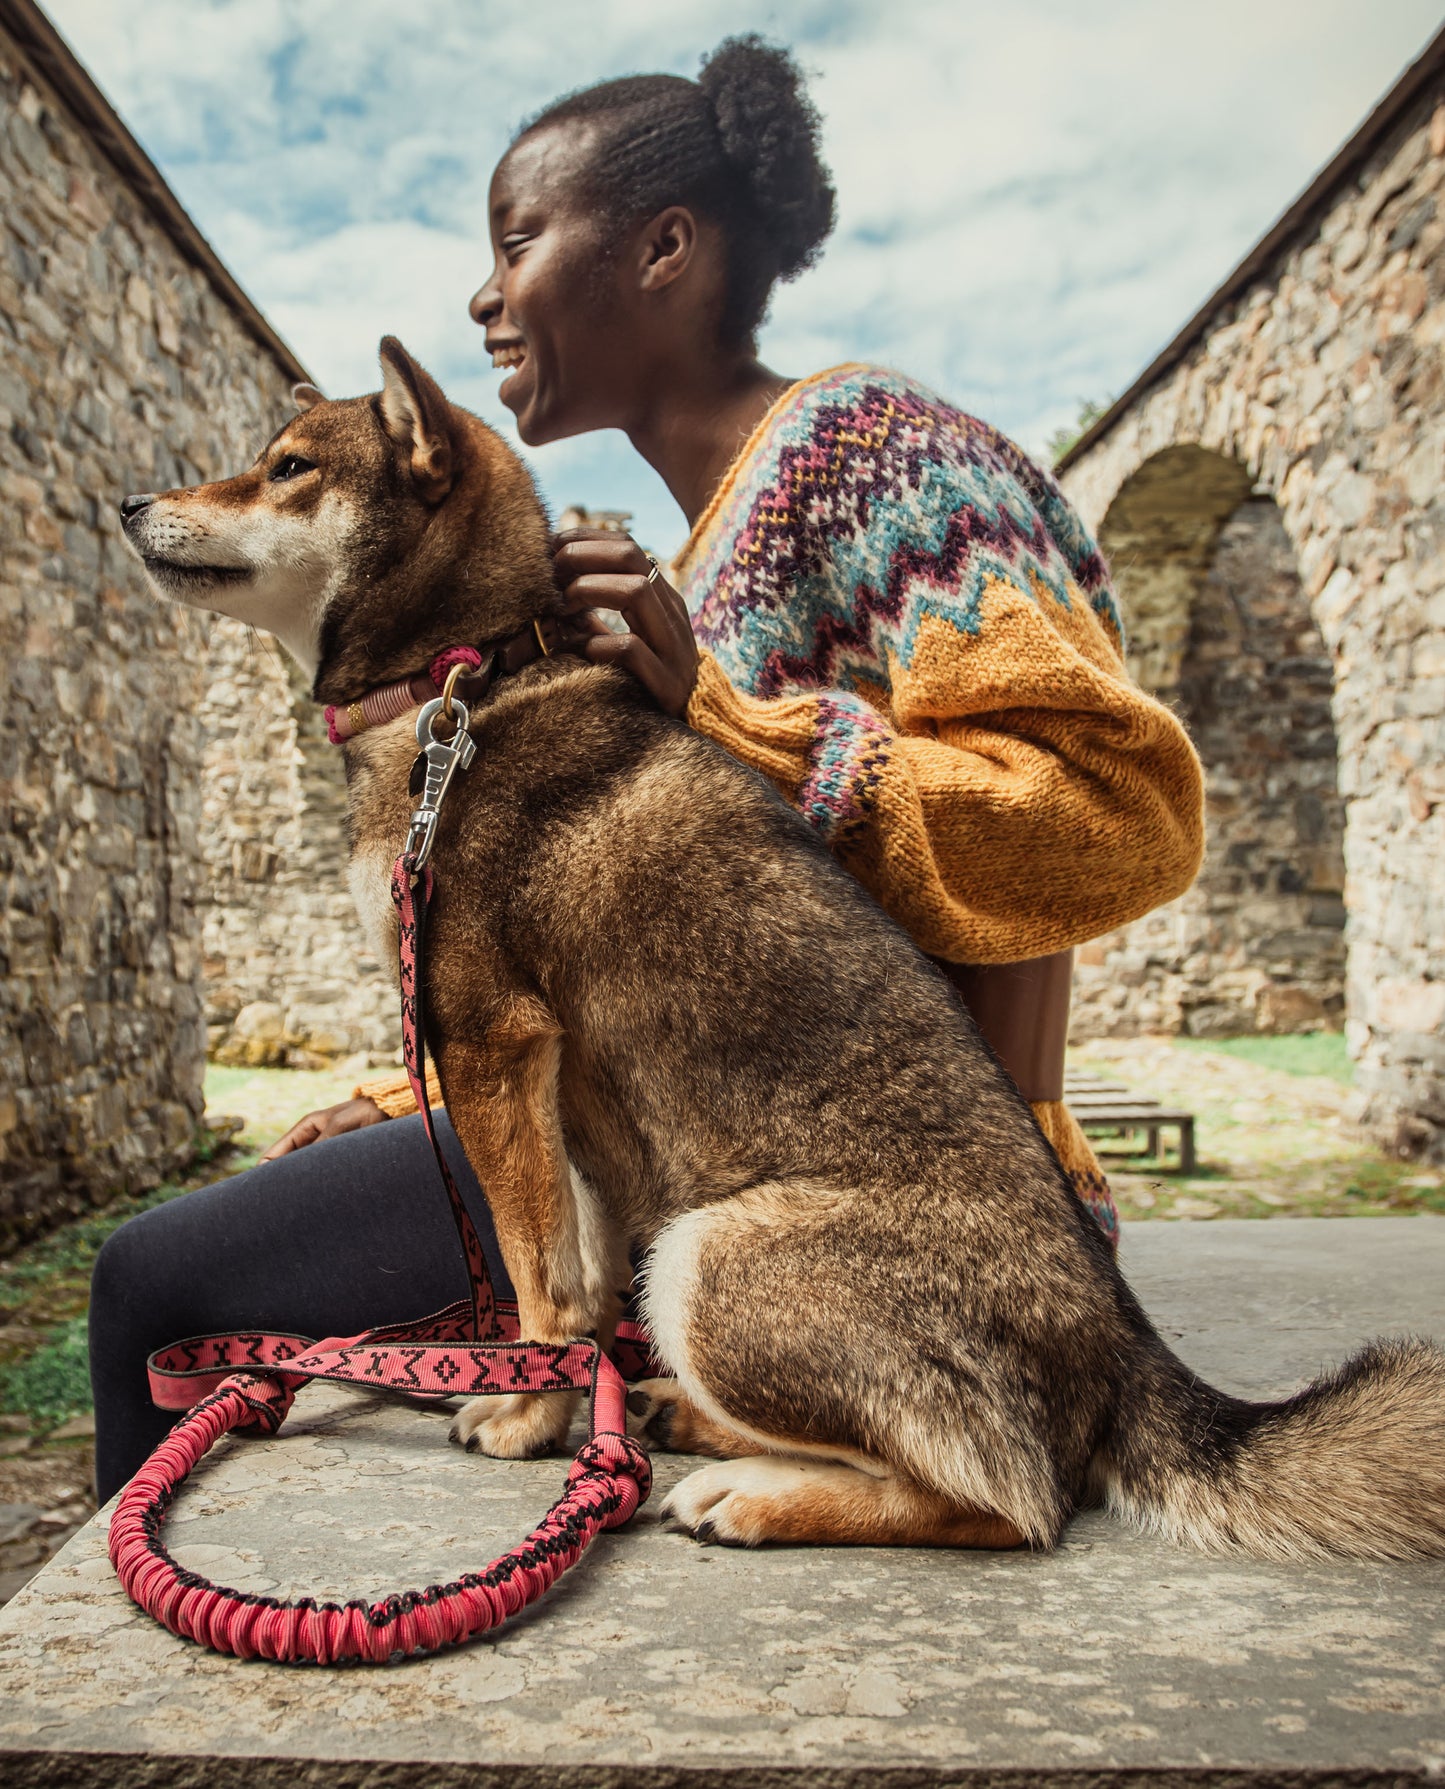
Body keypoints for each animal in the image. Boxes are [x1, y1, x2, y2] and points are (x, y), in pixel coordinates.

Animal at [121, 341, 1445, 1560]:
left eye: (289, 468)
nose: (130, 503)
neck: (467, 681)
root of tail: (1118, 1351)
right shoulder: (554, 1107)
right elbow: (577, 1277)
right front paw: (574, 1396)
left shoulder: (487, 1040)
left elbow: (536, 1281)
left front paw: (526, 1413)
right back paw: (678, 1414)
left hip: (710, 1256)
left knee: (1008, 1500)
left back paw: (749, 1491)